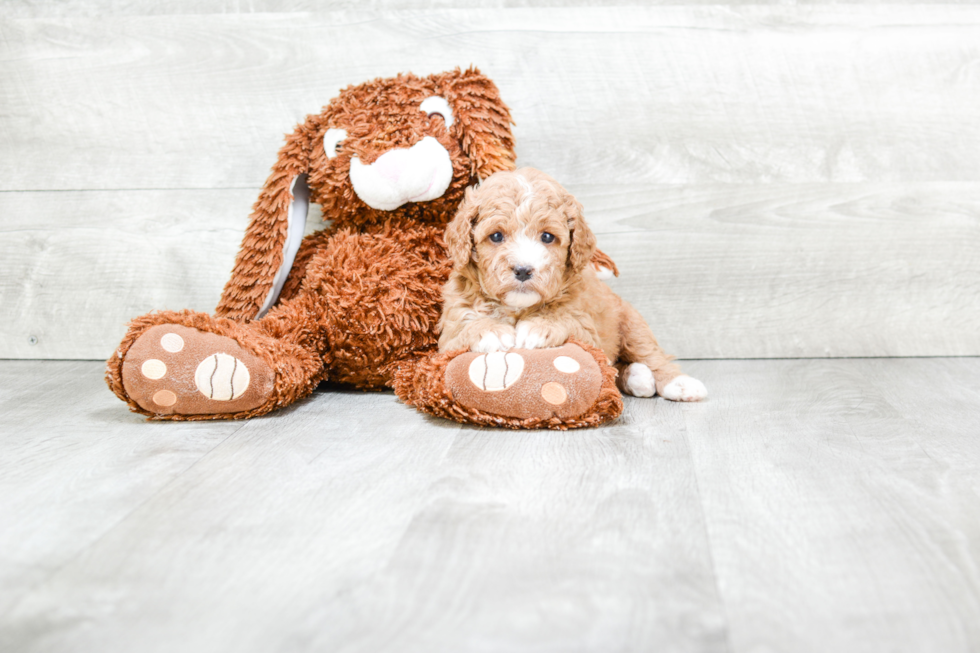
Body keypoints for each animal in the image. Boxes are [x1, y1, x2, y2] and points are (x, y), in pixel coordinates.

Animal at [440, 167, 708, 402]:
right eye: (496, 236)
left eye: (547, 237)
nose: (523, 270)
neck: (518, 308)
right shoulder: (448, 335)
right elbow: (464, 325)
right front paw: (490, 330)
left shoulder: (588, 329)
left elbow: (569, 319)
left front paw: (540, 327)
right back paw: (638, 377)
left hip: (632, 321)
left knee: (651, 355)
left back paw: (679, 383)